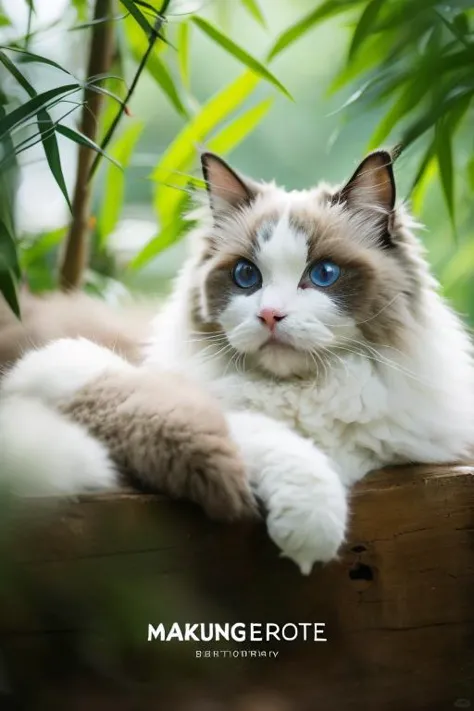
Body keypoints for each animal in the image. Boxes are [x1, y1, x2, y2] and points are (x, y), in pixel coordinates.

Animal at [0, 149, 474, 572]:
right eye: (246, 276)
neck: (304, 393)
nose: (270, 315)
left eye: (323, 274)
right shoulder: (80, 366)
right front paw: (311, 528)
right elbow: (257, 432)